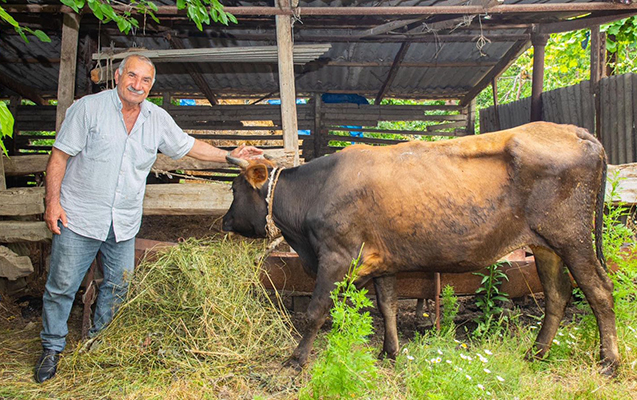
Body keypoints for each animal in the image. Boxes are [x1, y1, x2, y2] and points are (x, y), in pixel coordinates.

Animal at [222, 121, 616, 376]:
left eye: (234, 190)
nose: (224, 221)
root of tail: (577, 131)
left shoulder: (335, 257)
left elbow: (316, 310)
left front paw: (296, 359)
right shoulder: (382, 261)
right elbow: (388, 306)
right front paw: (390, 352)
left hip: (573, 238)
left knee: (599, 290)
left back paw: (608, 361)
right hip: (546, 246)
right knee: (557, 293)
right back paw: (536, 352)